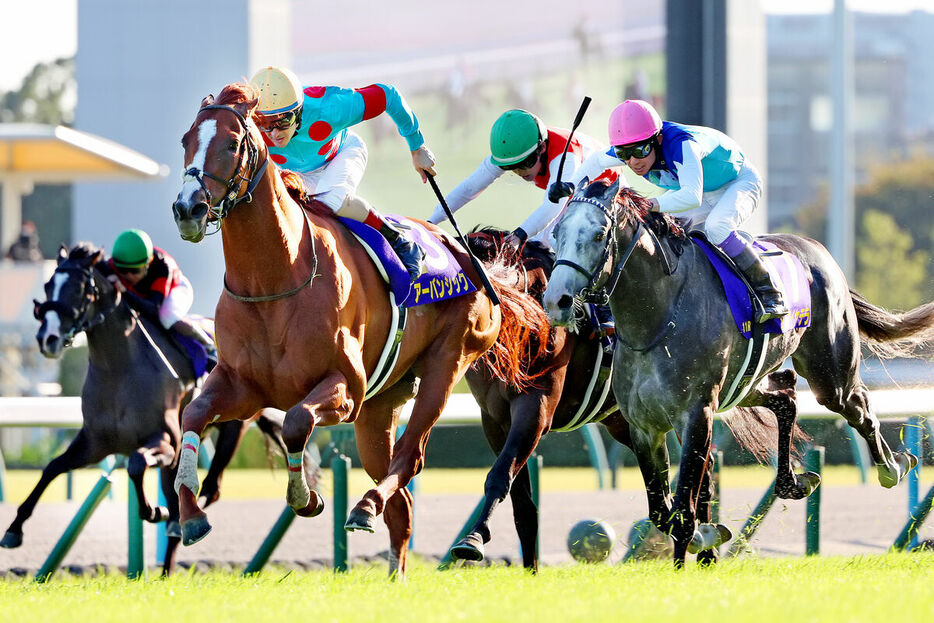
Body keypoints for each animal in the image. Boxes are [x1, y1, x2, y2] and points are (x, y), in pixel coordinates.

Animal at [0, 244, 308, 576]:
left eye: (81, 288)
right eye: (48, 285)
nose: (48, 338)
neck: (117, 369)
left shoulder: (165, 442)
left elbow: (136, 464)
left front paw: (153, 510)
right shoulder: (94, 444)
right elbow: (51, 468)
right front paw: (14, 529)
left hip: (232, 429)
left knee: (209, 488)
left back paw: (183, 520)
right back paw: (169, 556)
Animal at [174, 83, 548, 580]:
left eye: (233, 143)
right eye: (185, 140)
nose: (187, 208)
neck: (273, 279)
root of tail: (465, 254)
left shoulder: (345, 387)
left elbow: (296, 421)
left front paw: (305, 496)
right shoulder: (242, 386)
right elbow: (193, 416)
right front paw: (191, 515)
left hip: (445, 364)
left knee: (408, 458)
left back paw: (365, 507)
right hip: (381, 403)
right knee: (401, 500)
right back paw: (392, 568)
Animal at [448, 229, 636, 572]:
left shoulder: (536, 408)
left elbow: (500, 475)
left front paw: (473, 538)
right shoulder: (494, 419)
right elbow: (522, 504)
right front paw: (530, 570)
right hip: (621, 421)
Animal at [544, 178, 934, 568]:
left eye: (598, 235)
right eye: (557, 232)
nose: (555, 300)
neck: (657, 318)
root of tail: (817, 249)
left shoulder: (697, 413)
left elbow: (682, 507)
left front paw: (691, 552)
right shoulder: (643, 426)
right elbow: (661, 510)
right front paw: (705, 536)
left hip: (829, 372)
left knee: (859, 406)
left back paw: (893, 465)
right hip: (744, 384)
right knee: (786, 394)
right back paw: (792, 481)